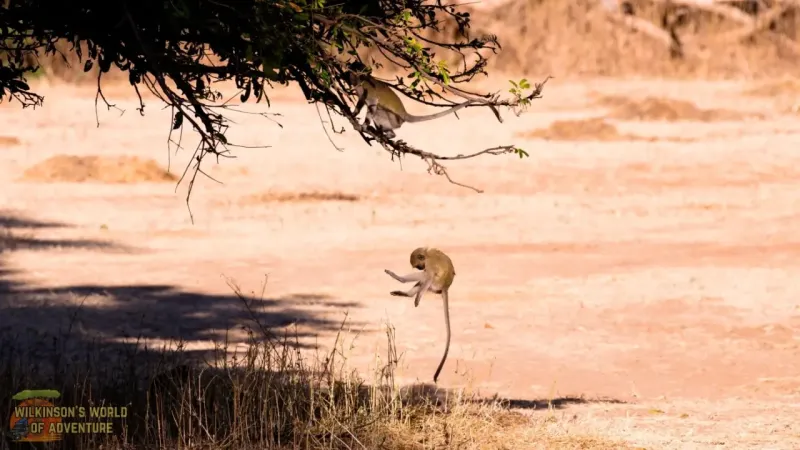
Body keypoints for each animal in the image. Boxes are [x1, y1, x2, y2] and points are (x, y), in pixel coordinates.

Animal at [349, 72, 500, 139]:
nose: (347, 73)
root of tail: (405, 114)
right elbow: (361, 101)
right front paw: (354, 113)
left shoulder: (367, 89)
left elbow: (372, 103)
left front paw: (362, 125)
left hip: (393, 119)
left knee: (378, 112)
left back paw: (387, 134)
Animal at [384, 247, 455, 383]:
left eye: (418, 265)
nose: (421, 268)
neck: (427, 254)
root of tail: (445, 287)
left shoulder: (429, 265)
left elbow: (429, 276)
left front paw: (417, 299)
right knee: (423, 279)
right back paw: (407, 294)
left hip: (435, 285)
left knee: (426, 276)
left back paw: (403, 282)